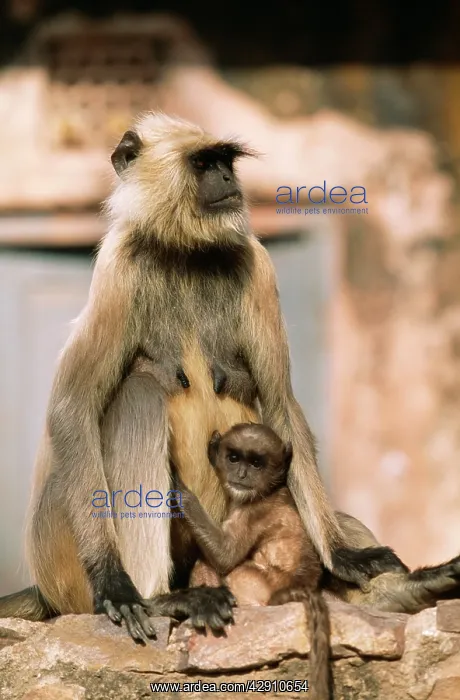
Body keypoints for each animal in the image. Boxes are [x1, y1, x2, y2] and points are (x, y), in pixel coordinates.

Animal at [0, 112, 405, 641]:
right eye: (203, 163)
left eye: (226, 160)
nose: (229, 179)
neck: (185, 253)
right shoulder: (118, 266)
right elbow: (74, 407)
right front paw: (115, 583)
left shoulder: (257, 263)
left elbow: (280, 402)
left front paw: (344, 554)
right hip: (61, 553)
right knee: (139, 393)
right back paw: (160, 598)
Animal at [178, 423, 331, 700]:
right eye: (234, 458)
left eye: (257, 463)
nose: (241, 473)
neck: (270, 491)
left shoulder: (254, 511)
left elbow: (225, 556)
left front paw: (177, 488)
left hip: (255, 583)